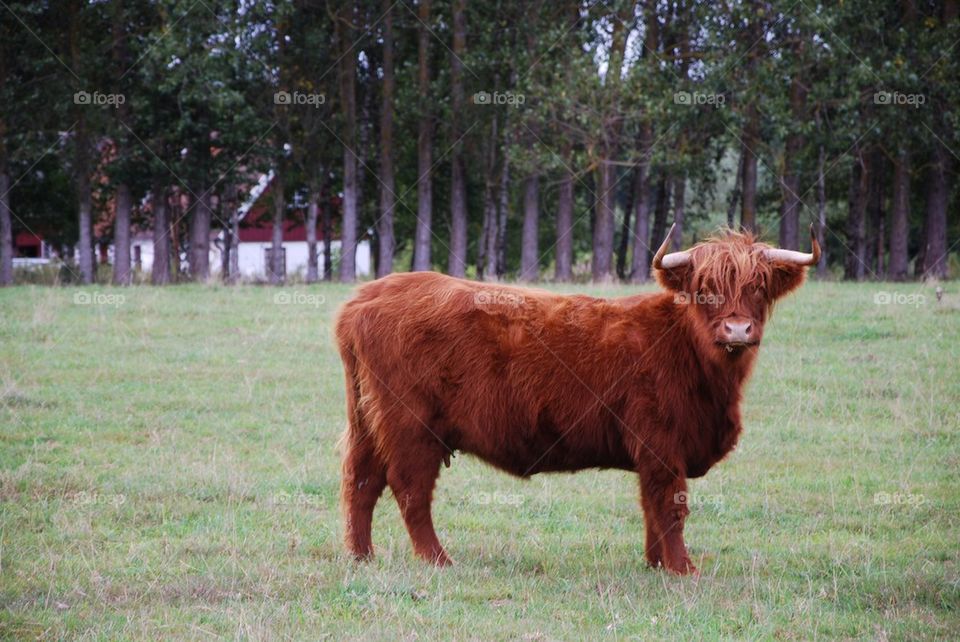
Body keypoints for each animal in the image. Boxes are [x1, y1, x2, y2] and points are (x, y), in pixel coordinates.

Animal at [335, 224, 820, 575]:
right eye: (704, 287)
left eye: (759, 285)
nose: (737, 330)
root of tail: (365, 298)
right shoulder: (662, 442)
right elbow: (670, 505)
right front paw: (683, 569)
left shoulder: (654, 451)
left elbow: (651, 505)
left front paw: (655, 563)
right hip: (411, 428)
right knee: (410, 490)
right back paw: (438, 560)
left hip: (367, 421)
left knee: (361, 482)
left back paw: (362, 556)